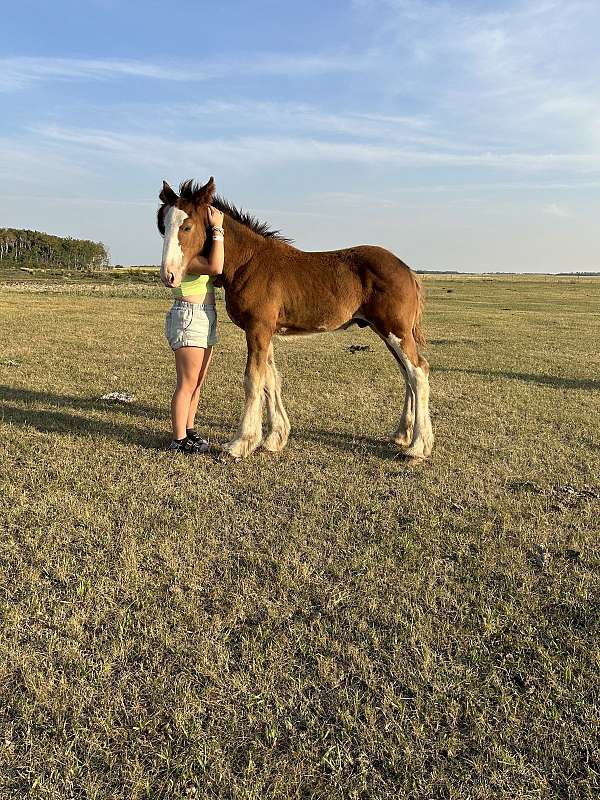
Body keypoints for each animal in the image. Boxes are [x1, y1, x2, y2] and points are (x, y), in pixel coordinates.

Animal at [157, 175, 434, 462]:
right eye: (163, 226)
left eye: (187, 226)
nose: (168, 275)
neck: (248, 262)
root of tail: (406, 269)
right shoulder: (265, 331)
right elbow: (270, 379)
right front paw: (273, 439)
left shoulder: (257, 328)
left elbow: (253, 380)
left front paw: (240, 444)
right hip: (387, 333)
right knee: (407, 374)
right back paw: (402, 434)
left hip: (395, 330)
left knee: (418, 372)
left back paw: (418, 447)